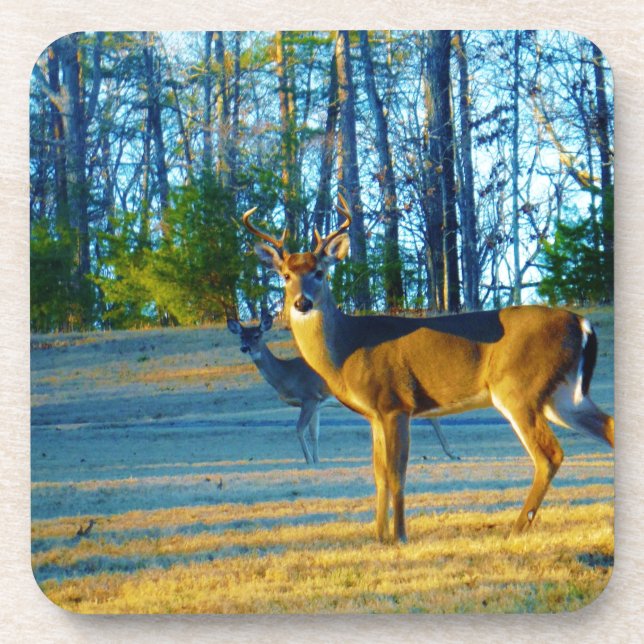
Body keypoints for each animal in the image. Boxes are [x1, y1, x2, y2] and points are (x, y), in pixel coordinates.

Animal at [228, 313, 458, 465]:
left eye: (257, 335)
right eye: (241, 336)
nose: (244, 348)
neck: (286, 375)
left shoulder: (309, 396)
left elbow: (299, 428)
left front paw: (309, 460)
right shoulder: (317, 403)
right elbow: (314, 432)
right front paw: (317, 460)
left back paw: (452, 453)